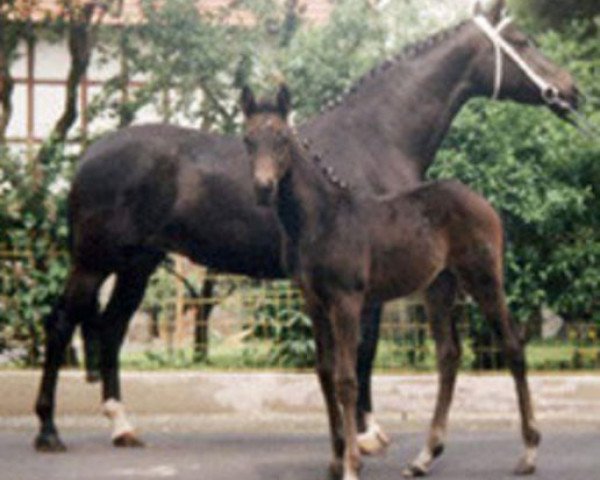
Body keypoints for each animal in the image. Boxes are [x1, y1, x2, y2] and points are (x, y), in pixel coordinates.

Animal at [241, 87, 540, 480]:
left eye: (282, 139)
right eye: (247, 140)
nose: (263, 188)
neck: (320, 219)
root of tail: (485, 204)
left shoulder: (347, 300)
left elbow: (347, 379)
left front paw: (351, 465)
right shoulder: (314, 302)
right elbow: (324, 373)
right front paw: (335, 459)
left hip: (484, 277)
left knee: (513, 345)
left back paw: (529, 452)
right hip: (439, 287)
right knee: (449, 354)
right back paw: (424, 456)